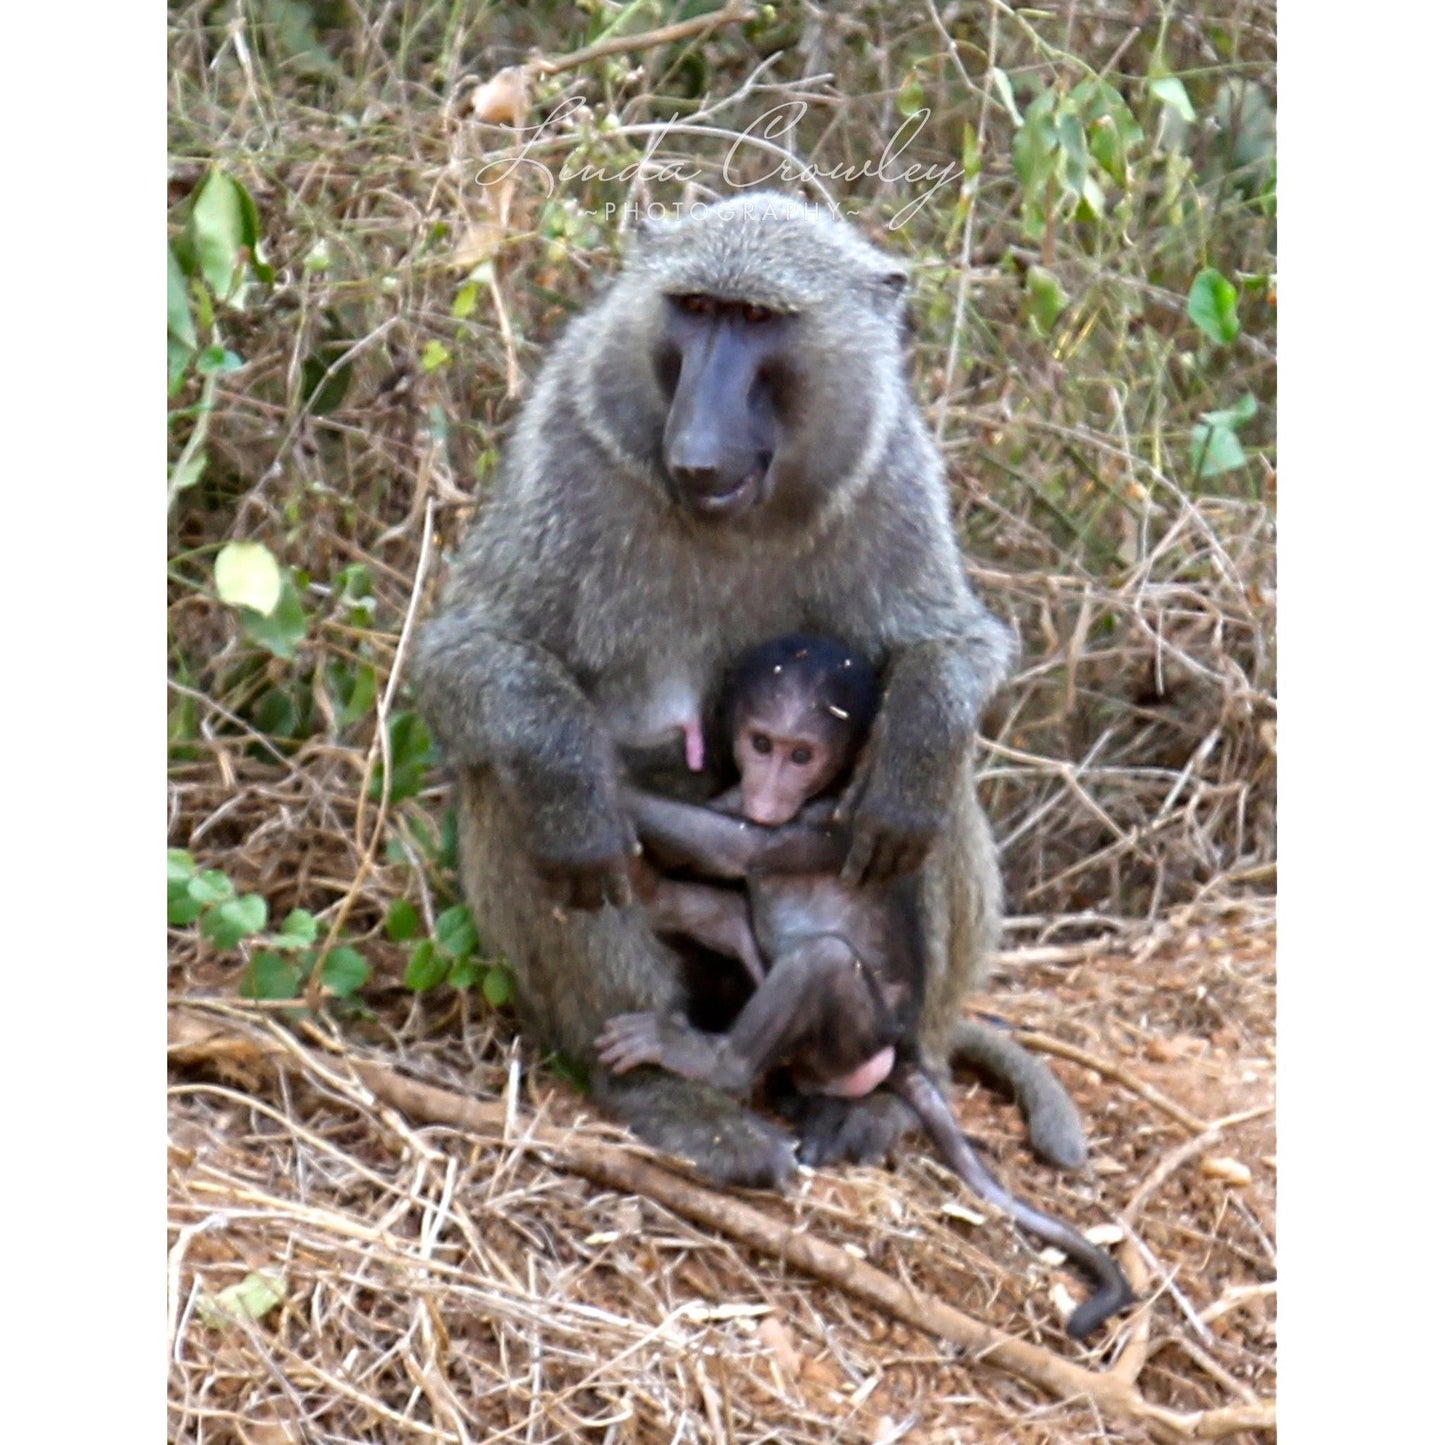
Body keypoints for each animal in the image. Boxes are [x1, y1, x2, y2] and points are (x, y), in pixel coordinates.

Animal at [412, 192, 1087, 1190]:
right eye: (696, 309)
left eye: (759, 321)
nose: (697, 445)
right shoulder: (567, 444)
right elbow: (469, 655)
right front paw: (577, 785)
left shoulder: (890, 467)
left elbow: (948, 652)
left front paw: (912, 757)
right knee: (507, 774)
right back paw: (672, 1089)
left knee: (934, 793)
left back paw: (888, 1088)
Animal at [595, 635, 1132, 1339]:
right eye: (761, 743)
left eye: (802, 755)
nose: (770, 790)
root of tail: (900, 1054)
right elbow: (717, 845)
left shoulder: (833, 826)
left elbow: (738, 849)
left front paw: (604, 776)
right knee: (732, 917)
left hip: (854, 1042)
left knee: (821, 961)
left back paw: (711, 1061)